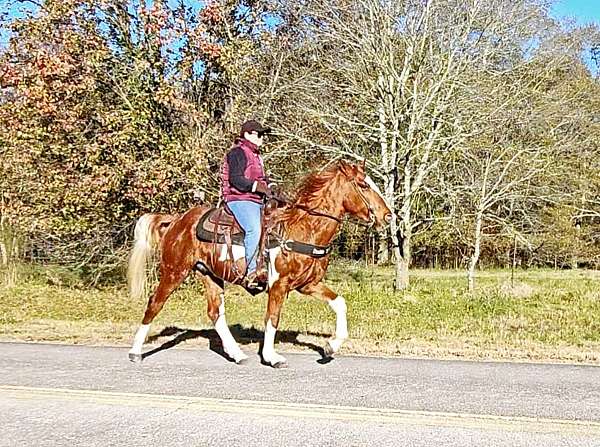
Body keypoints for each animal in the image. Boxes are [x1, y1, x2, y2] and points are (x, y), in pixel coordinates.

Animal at [125, 160, 394, 368]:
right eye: (363, 185)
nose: (388, 216)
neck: (303, 228)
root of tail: (177, 220)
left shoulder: (308, 284)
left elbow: (339, 303)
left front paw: (331, 346)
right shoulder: (279, 285)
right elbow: (272, 318)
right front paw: (271, 356)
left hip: (210, 275)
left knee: (215, 313)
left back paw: (236, 353)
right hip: (174, 271)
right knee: (154, 304)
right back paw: (135, 351)